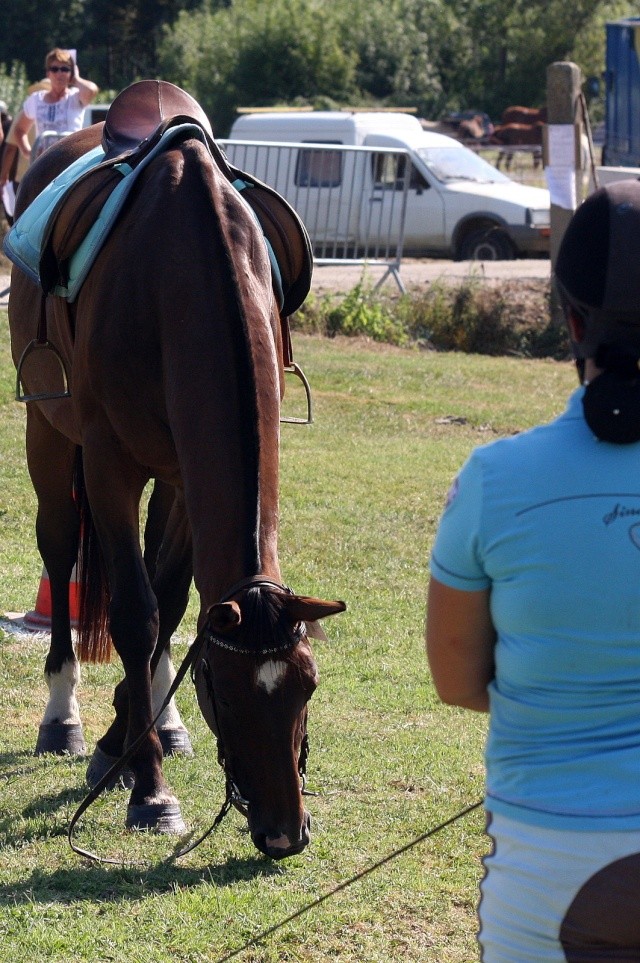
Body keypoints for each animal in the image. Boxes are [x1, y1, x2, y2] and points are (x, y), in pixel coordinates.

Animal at [7, 83, 344, 860]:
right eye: (224, 688)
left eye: (308, 687)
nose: (285, 832)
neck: (183, 271)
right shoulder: (110, 465)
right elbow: (136, 613)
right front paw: (149, 789)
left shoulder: (188, 479)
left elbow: (170, 601)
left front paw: (129, 740)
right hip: (50, 438)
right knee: (61, 552)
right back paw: (63, 716)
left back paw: (149, 725)